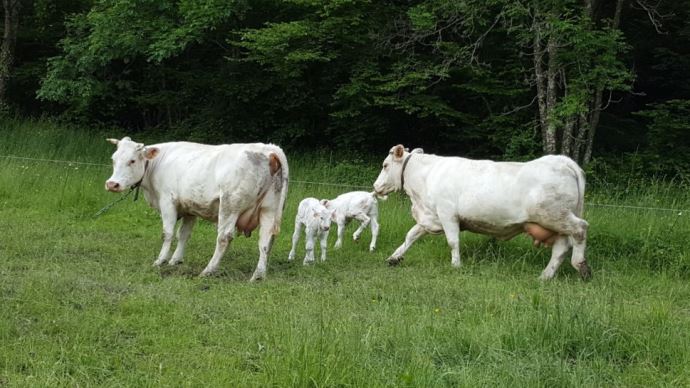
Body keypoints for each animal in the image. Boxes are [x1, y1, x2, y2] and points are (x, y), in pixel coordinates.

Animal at [104, 137, 288, 282]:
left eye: (132, 161)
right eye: (113, 159)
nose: (112, 184)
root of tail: (269, 149)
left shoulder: (167, 201)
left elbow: (168, 233)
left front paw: (161, 260)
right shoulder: (190, 208)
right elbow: (183, 234)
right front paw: (175, 260)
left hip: (230, 205)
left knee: (224, 237)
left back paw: (208, 270)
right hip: (269, 209)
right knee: (265, 241)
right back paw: (258, 275)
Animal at [374, 145, 588, 278]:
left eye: (385, 165)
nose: (375, 186)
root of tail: (562, 161)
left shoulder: (447, 214)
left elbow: (453, 242)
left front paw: (456, 265)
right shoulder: (430, 217)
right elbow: (410, 236)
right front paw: (394, 257)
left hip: (555, 215)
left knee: (580, 229)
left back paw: (581, 265)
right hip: (557, 221)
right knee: (561, 247)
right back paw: (545, 276)